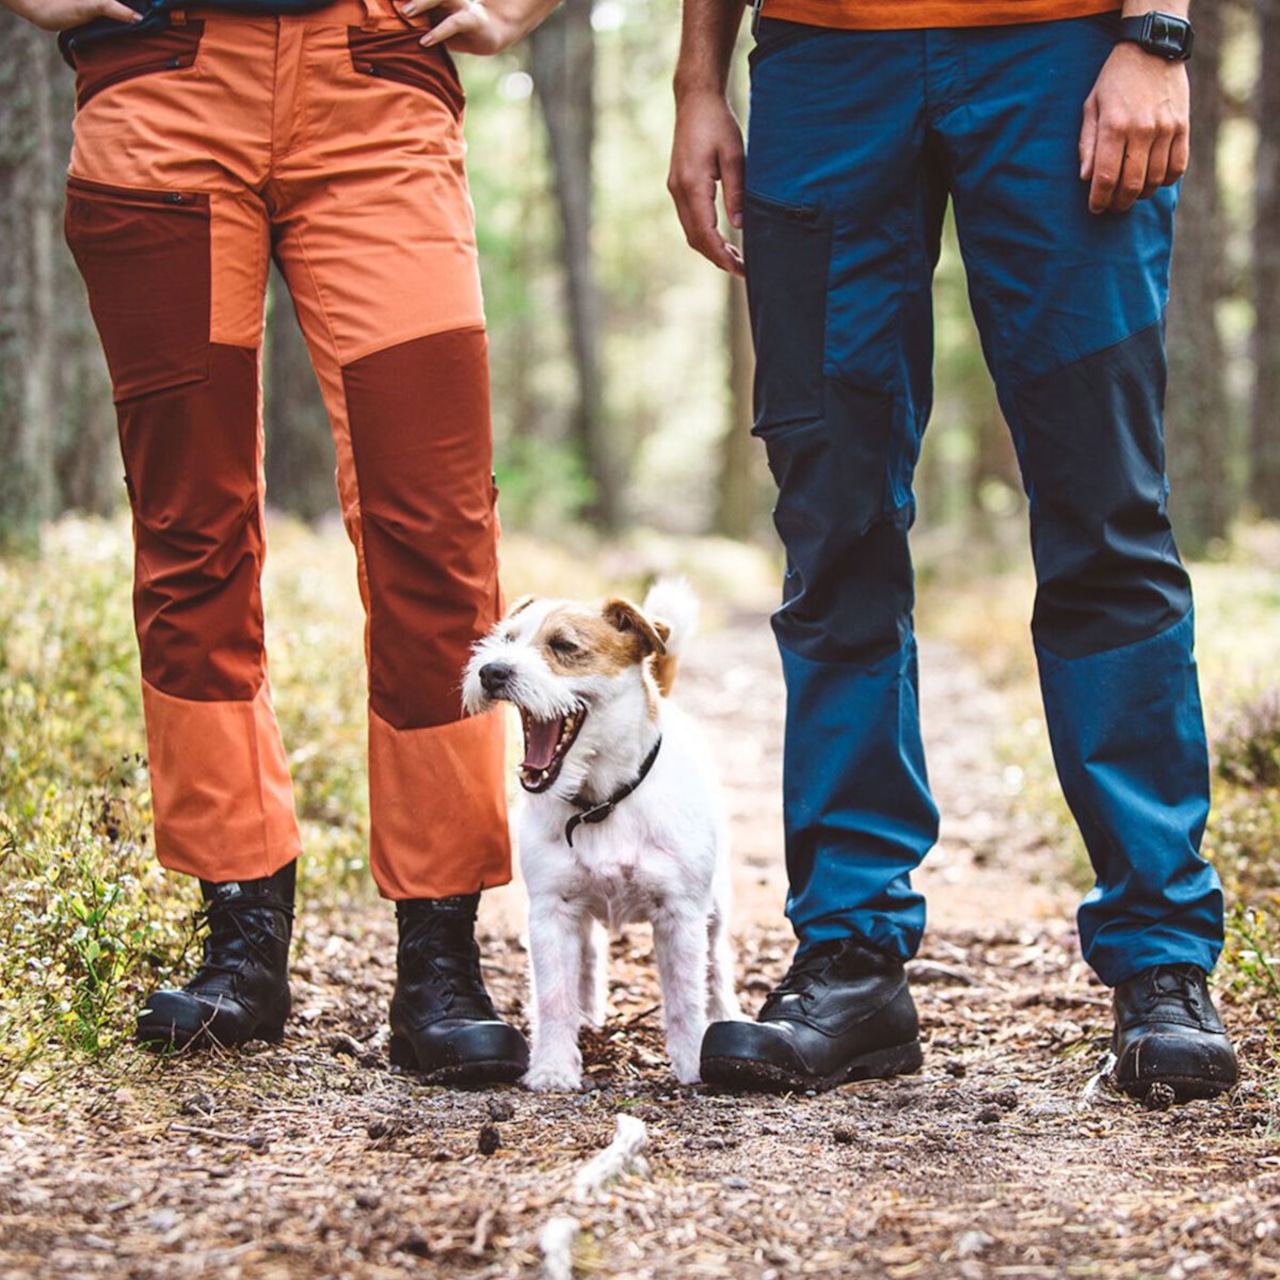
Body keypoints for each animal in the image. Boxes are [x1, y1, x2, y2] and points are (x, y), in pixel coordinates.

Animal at [463, 581, 742, 1090]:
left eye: (564, 646)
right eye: (507, 639)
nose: (492, 671)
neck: (601, 801)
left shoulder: (680, 916)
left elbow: (685, 997)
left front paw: (693, 1062)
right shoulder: (551, 913)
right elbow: (553, 997)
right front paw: (553, 1066)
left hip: (715, 905)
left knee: (716, 963)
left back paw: (725, 1013)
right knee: (590, 953)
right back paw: (588, 1013)